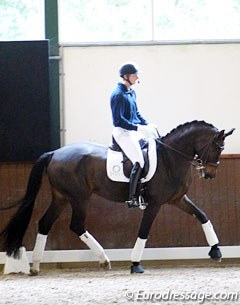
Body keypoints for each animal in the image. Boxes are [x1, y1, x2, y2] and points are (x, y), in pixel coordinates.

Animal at [0, 119, 234, 274]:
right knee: (76, 225)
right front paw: (135, 264)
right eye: (217, 147)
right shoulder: (155, 203)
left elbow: (202, 216)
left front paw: (216, 251)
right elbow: (144, 231)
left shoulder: (177, 200)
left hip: (61, 197)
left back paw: (35, 266)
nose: (210, 174)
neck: (170, 158)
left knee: (45, 223)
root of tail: (54, 153)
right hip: (79, 197)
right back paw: (104, 260)